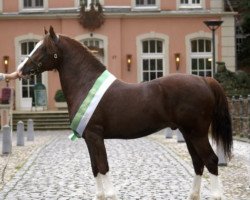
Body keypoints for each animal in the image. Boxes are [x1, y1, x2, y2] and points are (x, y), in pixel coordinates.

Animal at [18, 27, 232, 200]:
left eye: (43, 48)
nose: (22, 70)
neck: (86, 84)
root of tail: (205, 80)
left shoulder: (95, 136)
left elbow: (103, 166)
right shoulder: (88, 138)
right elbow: (94, 167)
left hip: (197, 133)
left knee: (211, 160)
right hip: (188, 133)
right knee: (198, 162)